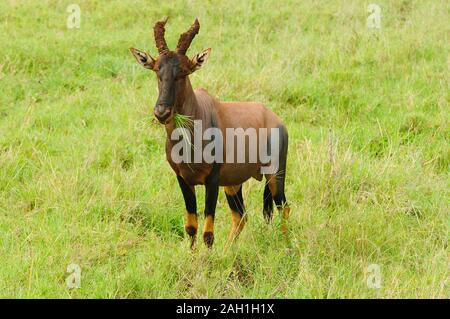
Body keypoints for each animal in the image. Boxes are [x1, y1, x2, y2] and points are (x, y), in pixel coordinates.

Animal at [128, 18, 290, 250]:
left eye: (184, 72)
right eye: (157, 70)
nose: (161, 112)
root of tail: (275, 119)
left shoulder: (212, 180)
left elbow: (208, 232)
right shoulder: (183, 179)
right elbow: (191, 227)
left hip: (275, 174)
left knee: (283, 208)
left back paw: (288, 247)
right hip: (233, 183)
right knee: (241, 216)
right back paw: (229, 250)